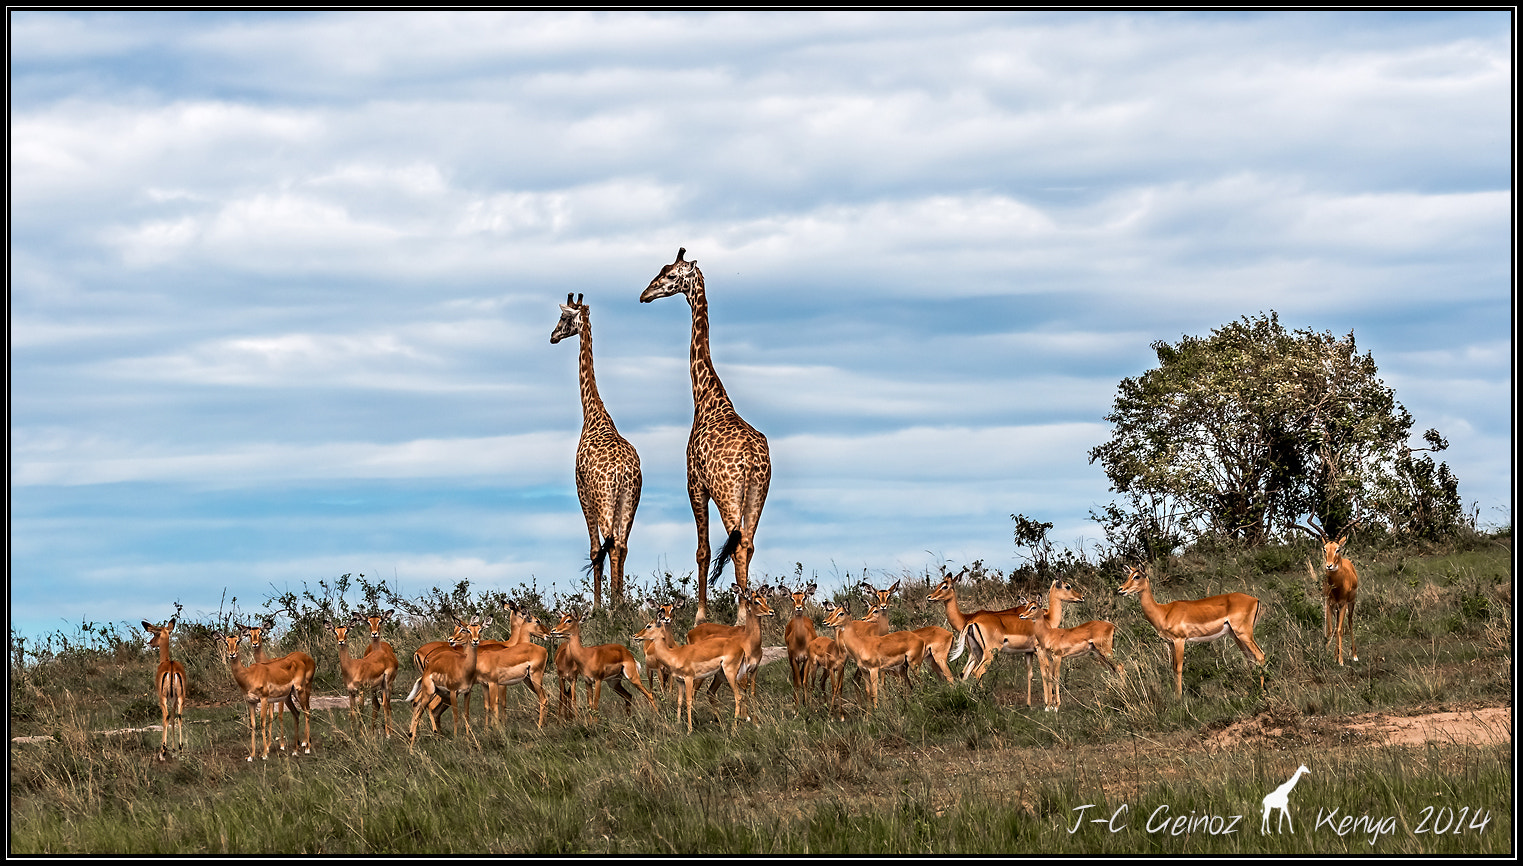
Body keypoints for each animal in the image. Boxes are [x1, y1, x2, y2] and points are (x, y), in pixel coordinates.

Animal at [552, 292, 642, 609]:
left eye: (563, 318)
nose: (553, 336)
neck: (593, 415)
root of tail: (623, 472)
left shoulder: (583, 493)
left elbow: (594, 550)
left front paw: (596, 609)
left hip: (606, 501)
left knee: (610, 544)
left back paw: (613, 609)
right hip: (630, 501)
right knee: (622, 545)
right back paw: (621, 604)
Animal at [640, 248, 771, 623]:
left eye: (670, 275)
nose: (645, 294)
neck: (707, 397)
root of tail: (753, 460)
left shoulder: (695, 483)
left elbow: (703, 549)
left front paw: (700, 615)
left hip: (729, 494)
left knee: (737, 546)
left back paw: (741, 617)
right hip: (758, 494)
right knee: (749, 544)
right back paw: (750, 612)